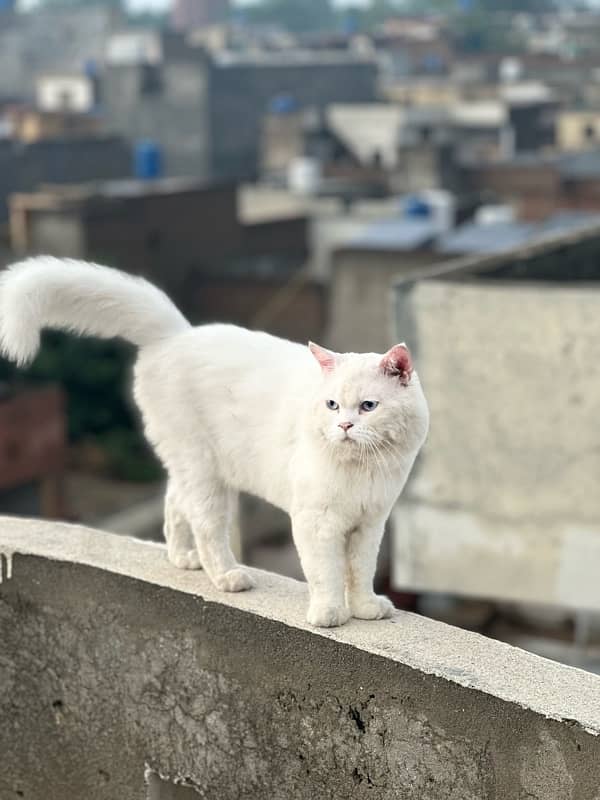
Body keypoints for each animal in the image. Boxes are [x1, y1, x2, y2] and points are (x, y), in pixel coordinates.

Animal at [0, 260, 428, 628]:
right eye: (332, 404)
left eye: (369, 406)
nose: (344, 425)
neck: (362, 468)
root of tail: (177, 334)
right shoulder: (316, 523)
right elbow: (326, 572)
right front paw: (329, 613)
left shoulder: (370, 524)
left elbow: (360, 571)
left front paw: (365, 608)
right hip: (205, 475)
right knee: (206, 529)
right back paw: (226, 576)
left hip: (193, 468)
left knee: (175, 506)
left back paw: (182, 559)